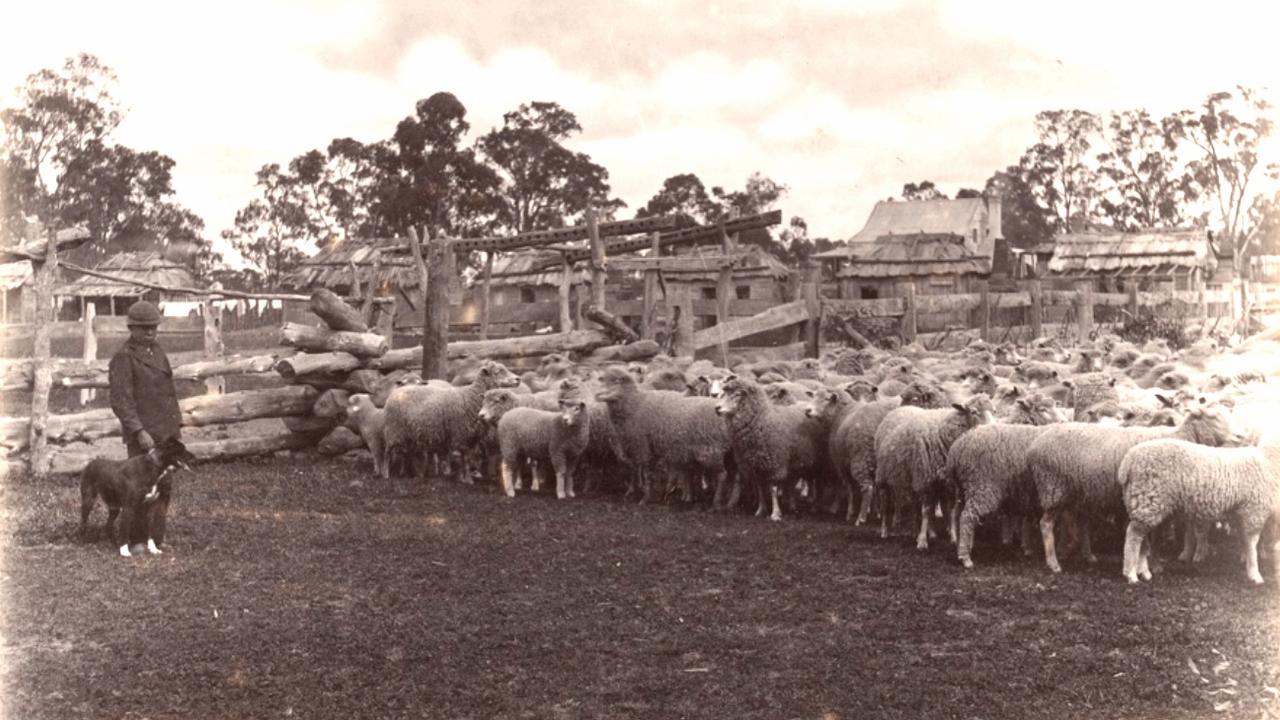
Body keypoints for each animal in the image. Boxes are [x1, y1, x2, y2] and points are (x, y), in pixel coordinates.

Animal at [378, 358, 519, 481]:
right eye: (498, 371)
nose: (518, 379)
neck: (471, 396)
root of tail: (397, 392)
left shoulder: (471, 437)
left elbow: (468, 458)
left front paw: (464, 477)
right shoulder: (462, 434)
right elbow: (465, 458)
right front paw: (467, 479)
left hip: (408, 433)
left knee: (407, 453)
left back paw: (410, 473)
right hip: (394, 430)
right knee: (387, 452)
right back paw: (386, 473)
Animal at [870, 394, 998, 545]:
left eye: (994, 411)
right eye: (974, 412)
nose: (992, 431)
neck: (944, 433)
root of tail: (901, 408)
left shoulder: (948, 483)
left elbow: (950, 511)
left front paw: (953, 536)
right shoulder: (925, 480)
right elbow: (926, 510)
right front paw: (922, 541)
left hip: (914, 477)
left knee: (915, 506)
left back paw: (919, 531)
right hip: (884, 476)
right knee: (885, 503)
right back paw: (885, 531)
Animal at [1029, 404, 1239, 571]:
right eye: (1213, 417)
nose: (1239, 436)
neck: (1180, 436)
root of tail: (1035, 445)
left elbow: (1156, 535)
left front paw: (1152, 562)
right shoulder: (1154, 497)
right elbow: (1154, 536)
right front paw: (1152, 564)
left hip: (1078, 493)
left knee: (1080, 523)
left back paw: (1087, 556)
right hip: (1053, 487)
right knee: (1046, 524)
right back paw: (1054, 563)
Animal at [1121, 425, 1280, 584]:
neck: (1268, 460)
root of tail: (1129, 460)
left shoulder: (1241, 512)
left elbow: (1244, 540)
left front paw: (1246, 562)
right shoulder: (1254, 510)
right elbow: (1252, 542)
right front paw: (1254, 573)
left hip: (1147, 504)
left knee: (1142, 538)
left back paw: (1144, 571)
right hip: (1148, 500)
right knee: (1133, 536)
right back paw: (1131, 574)